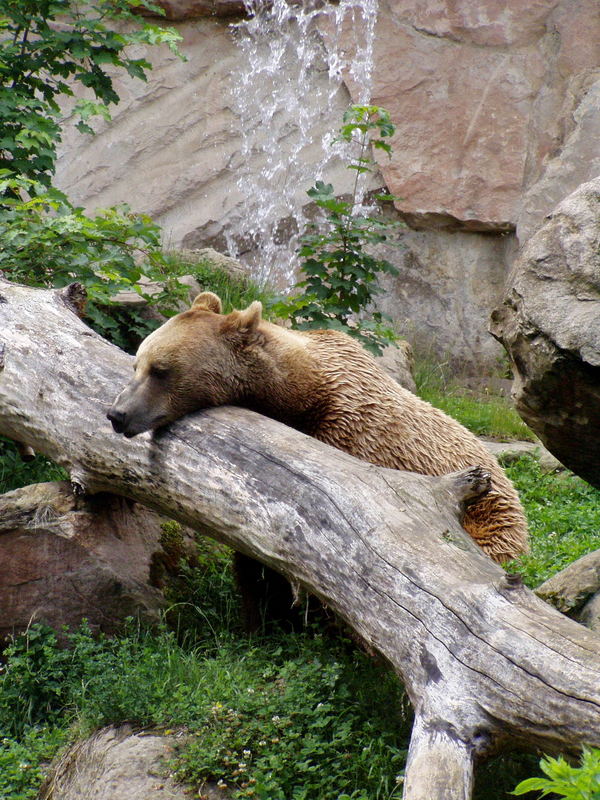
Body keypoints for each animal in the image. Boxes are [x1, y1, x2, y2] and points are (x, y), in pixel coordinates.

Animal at [109, 290, 528, 564]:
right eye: (137, 363)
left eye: (160, 370)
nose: (118, 414)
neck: (300, 390)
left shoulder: (351, 430)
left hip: (490, 515)